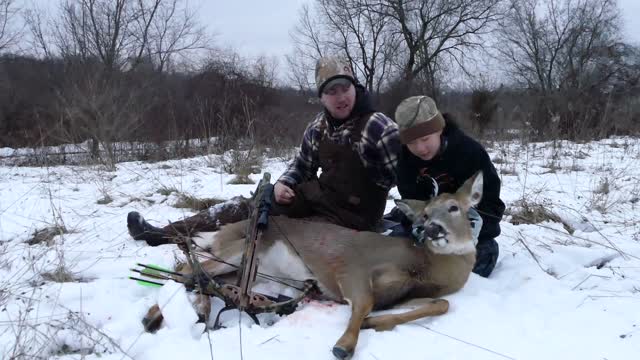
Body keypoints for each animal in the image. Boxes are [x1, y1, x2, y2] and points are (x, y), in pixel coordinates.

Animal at [142, 171, 482, 358]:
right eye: (425, 213)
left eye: (454, 207)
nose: (430, 229)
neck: (425, 264)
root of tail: (225, 230)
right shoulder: (352, 265)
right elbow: (364, 302)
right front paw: (344, 345)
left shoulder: (405, 294)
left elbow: (441, 304)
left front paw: (374, 324)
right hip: (234, 253)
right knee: (188, 270)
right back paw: (155, 317)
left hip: (238, 269)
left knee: (200, 277)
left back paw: (184, 313)